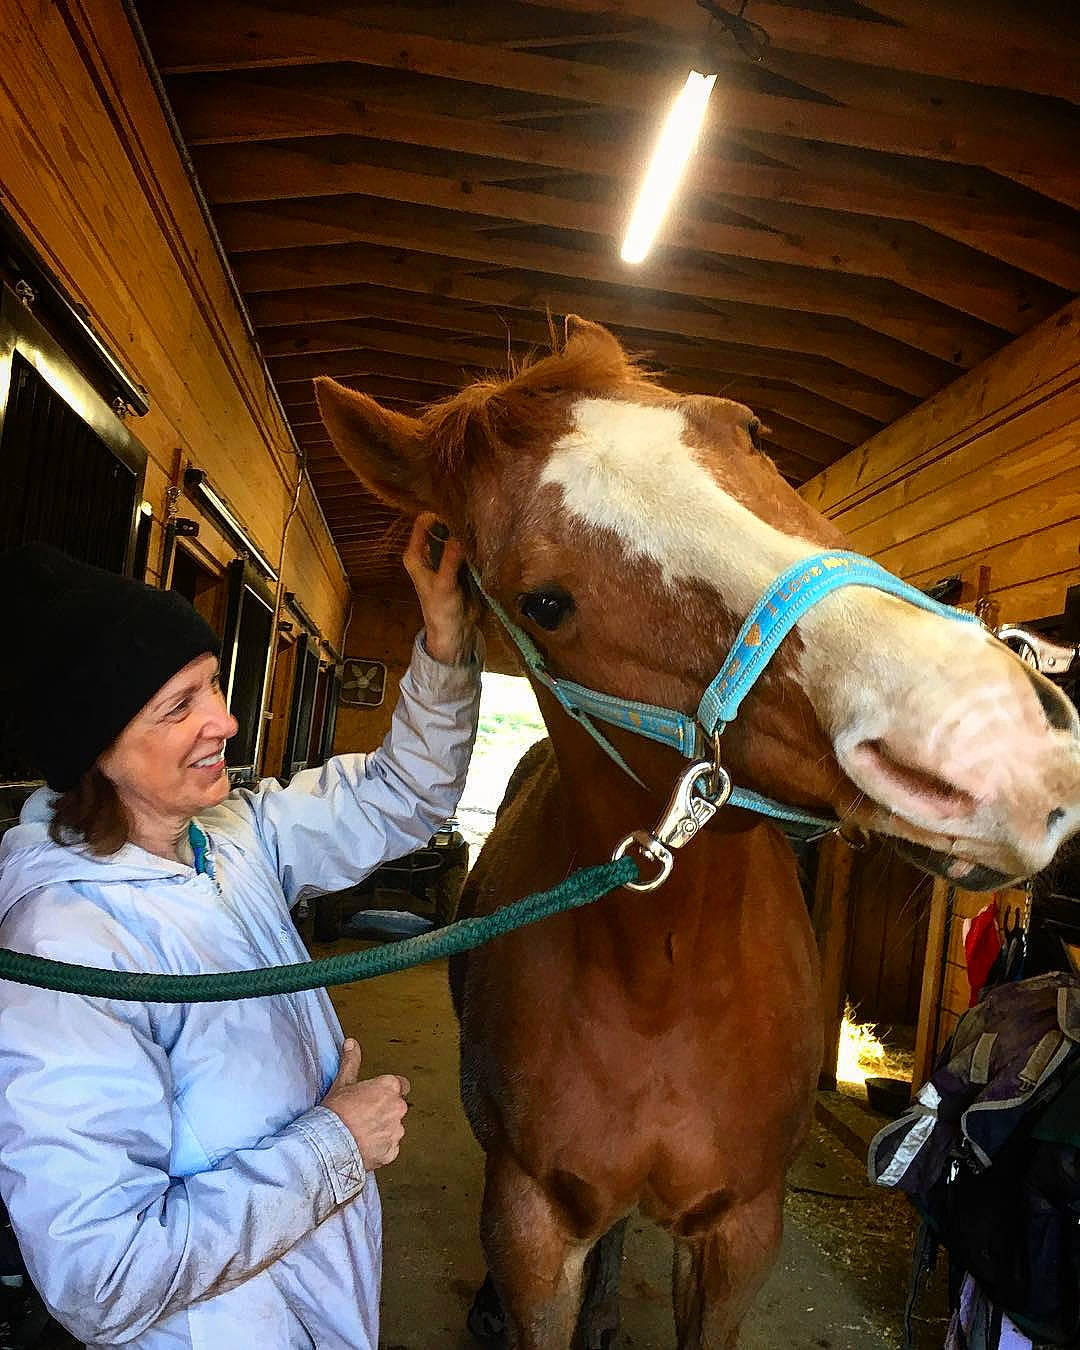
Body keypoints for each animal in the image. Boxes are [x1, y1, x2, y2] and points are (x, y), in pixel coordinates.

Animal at [316, 317, 1080, 1349]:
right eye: (544, 600)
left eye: (748, 429)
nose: (997, 739)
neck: (663, 982)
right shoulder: (531, 1228)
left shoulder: (739, 1233)